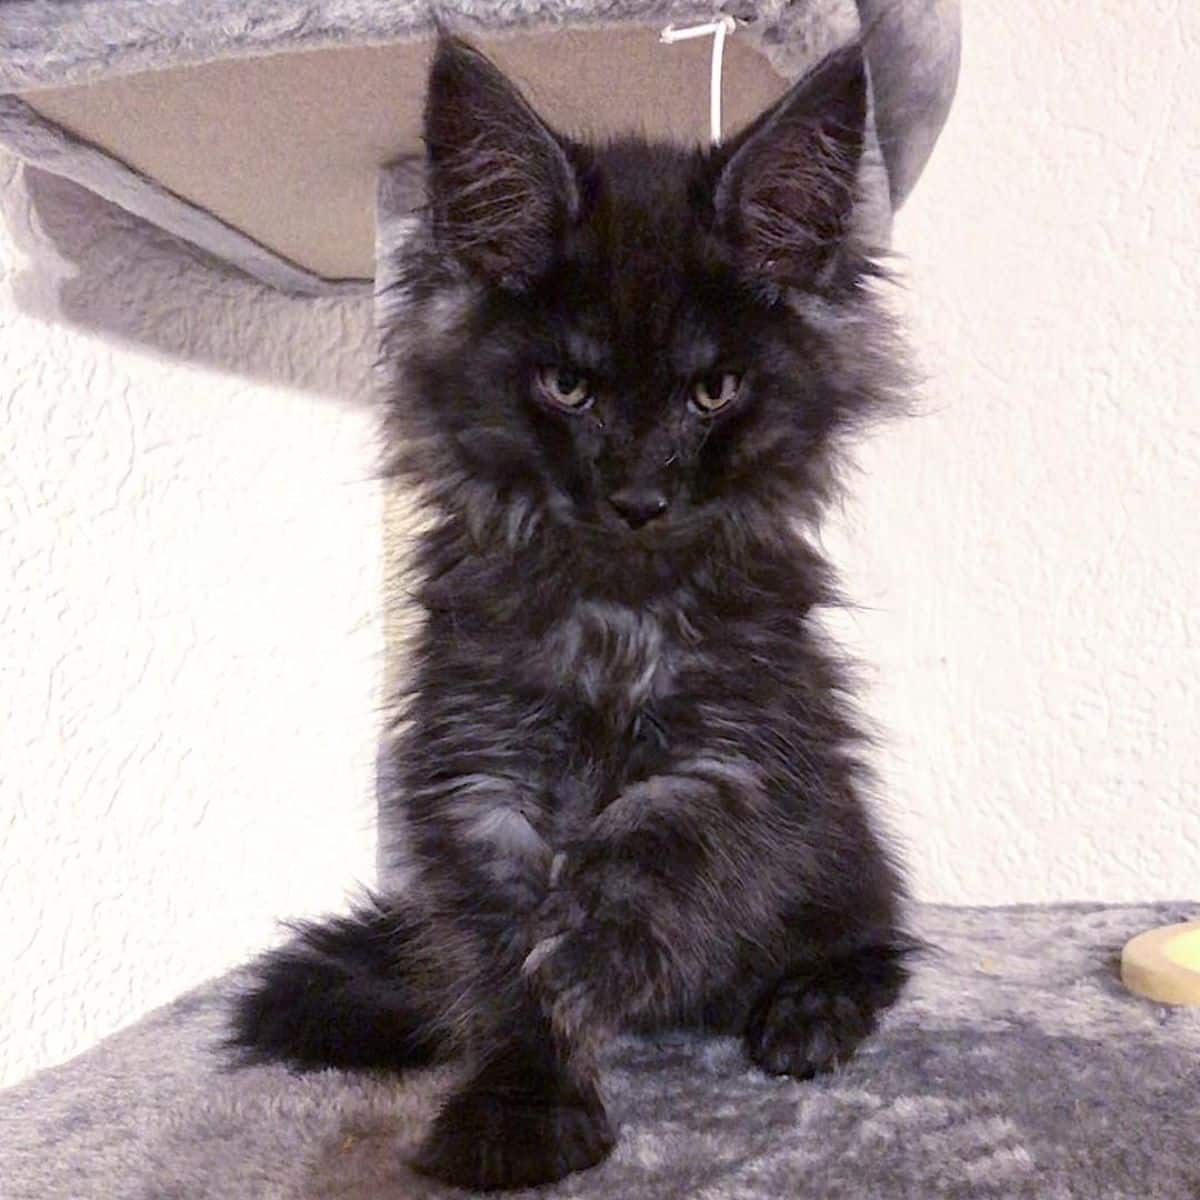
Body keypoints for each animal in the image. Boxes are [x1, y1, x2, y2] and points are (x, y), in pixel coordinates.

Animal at [229, 30, 912, 1190]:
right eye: (567, 387)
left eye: (713, 392)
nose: (637, 496)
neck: (613, 610)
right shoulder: (477, 762)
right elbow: (500, 962)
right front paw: (520, 1103)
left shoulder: (735, 751)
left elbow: (643, 869)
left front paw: (585, 965)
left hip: (839, 841)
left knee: (877, 937)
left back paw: (808, 1011)